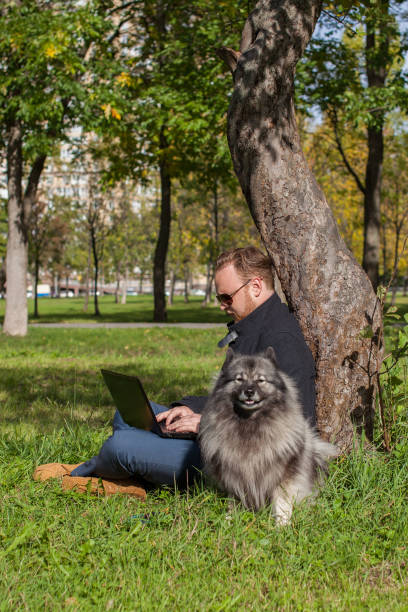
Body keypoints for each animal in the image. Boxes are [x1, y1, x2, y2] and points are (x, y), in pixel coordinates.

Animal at [198, 346, 338, 524]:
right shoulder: (233, 473)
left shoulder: (283, 476)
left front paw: (282, 524)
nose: (249, 391)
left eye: (260, 380)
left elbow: (281, 503)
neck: (250, 423)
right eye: (239, 379)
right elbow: (233, 500)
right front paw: (229, 520)